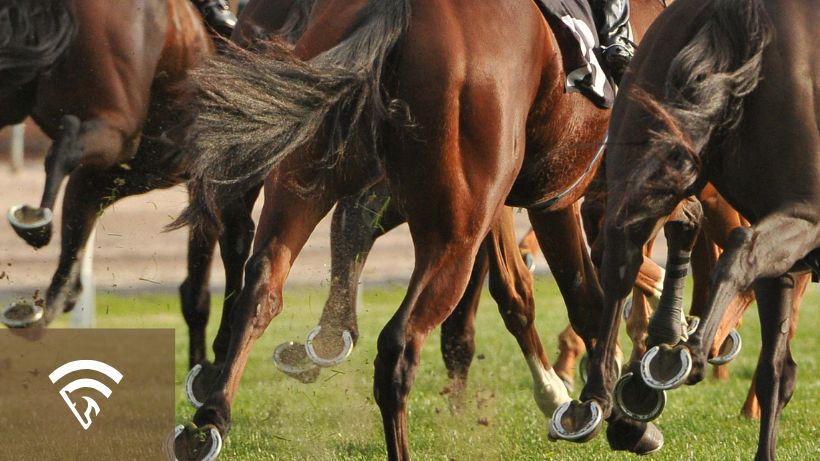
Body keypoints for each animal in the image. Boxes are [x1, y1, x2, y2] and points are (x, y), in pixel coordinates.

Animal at [171, 0, 668, 458]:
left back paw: (209, 420)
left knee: (262, 287)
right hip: (454, 232)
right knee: (399, 344)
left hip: (304, 181)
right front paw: (616, 410)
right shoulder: (557, 196)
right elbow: (585, 296)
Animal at [556, 0, 816, 456]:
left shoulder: (781, 267)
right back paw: (680, 356)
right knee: (741, 249)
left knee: (621, 252)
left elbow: (775, 370)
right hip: (802, 211)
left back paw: (607, 396)